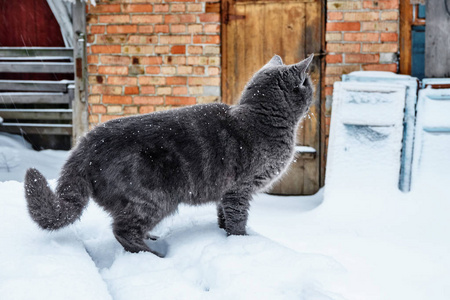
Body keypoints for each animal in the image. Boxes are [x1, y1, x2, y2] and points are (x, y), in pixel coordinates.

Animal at [23, 55, 312, 256]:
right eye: (307, 83)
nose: (313, 91)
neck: (260, 120)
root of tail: (84, 145)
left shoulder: (225, 192)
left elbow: (223, 215)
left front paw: (222, 233)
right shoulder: (240, 189)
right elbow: (238, 218)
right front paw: (240, 240)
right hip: (155, 199)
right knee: (122, 230)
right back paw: (152, 254)